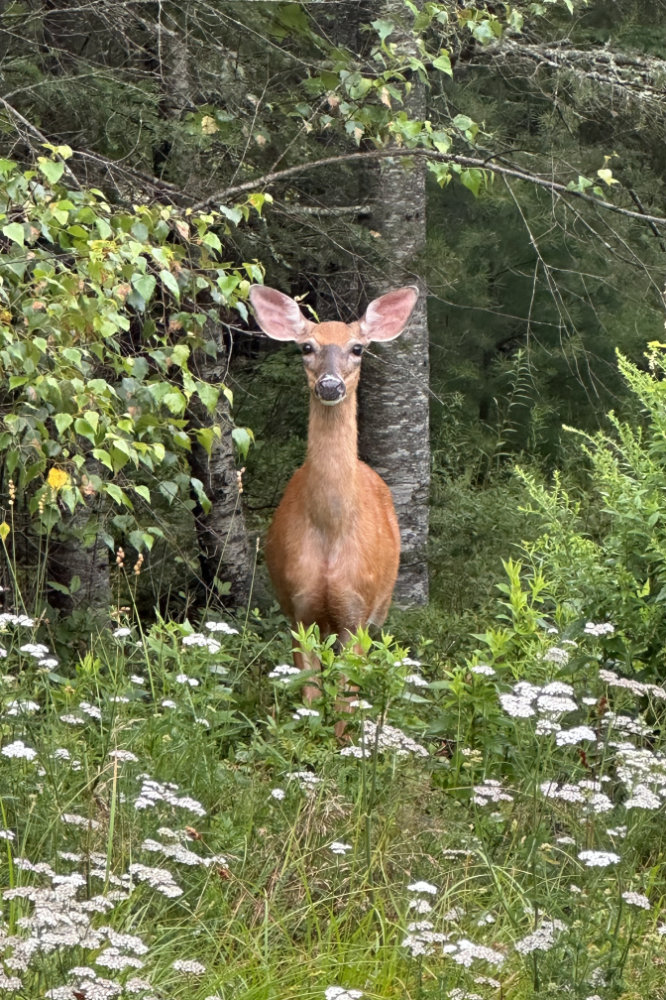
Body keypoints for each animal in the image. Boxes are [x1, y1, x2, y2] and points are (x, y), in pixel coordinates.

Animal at [246, 284, 418, 712]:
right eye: (306, 347)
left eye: (357, 348)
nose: (329, 385)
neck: (330, 532)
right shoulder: (298, 609)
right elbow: (309, 694)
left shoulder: (357, 611)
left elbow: (345, 699)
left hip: (380, 608)